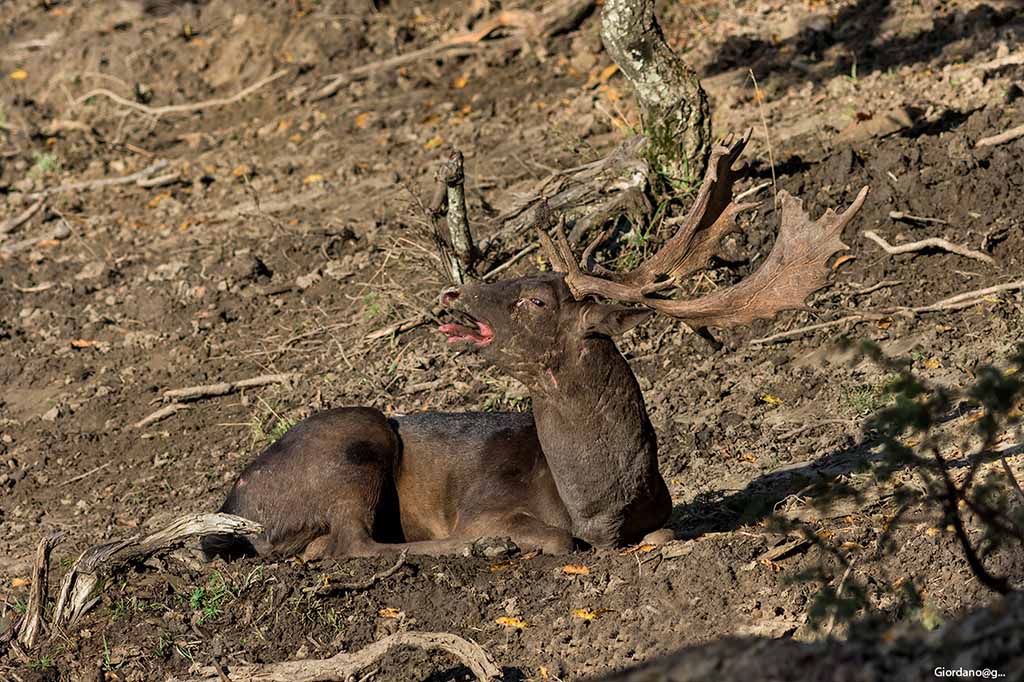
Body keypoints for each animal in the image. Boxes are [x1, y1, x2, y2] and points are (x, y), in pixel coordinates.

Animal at [203, 137, 868, 557]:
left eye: (536, 299)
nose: (455, 291)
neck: (600, 506)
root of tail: (235, 507)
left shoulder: (661, 517)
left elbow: (663, 535)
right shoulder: (486, 503)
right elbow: (550, 537)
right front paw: (496, 539)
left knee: (330, 546)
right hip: (355, 439)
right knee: (352, 543)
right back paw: (476, 547)